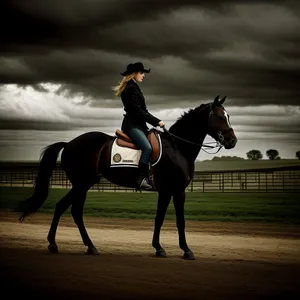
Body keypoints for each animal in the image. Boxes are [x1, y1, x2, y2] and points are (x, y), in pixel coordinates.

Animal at [19, 95, 237, 260]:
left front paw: (158, 248)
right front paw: (187, 250)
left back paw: (81, 245)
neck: (177, 147)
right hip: (81, 184)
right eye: (220, 117)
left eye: (228, 116)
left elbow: (159, 218)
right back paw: (62, 244)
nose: (232, 141)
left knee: (69, 209)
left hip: (84, 184)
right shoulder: (177, 191)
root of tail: (69, 143)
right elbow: (180, 221)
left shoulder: (165, 192)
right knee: (68, 209)